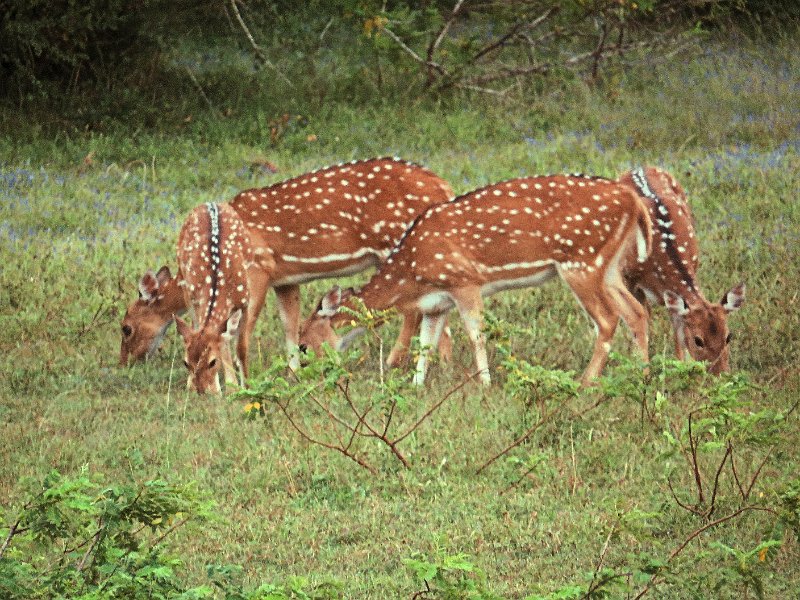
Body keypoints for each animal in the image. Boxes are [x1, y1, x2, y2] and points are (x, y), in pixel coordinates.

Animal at [119, 157, 455, 371]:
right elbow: (289, 326)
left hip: (395, 244)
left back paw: (399, 361)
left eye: (126, 328)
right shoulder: (286, 279)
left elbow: (241, 333)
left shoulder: (257, 270)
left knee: (413, 309)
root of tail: (444, 187)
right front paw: (293, 371)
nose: (124, 362)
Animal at [173, 202, 255, 394]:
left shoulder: (245, 301)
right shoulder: (196, 298)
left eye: (212, 362)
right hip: (184, 283)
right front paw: (227, 389)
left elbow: (241, 348)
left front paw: (246, 386)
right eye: (186, 363)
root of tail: (209, 203)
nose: (200, 391)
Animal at [299, 174, 654, 386]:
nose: (306, 373)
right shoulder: (436, 304)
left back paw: (585, 381)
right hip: (607, 265)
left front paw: (485, 383)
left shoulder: (464, 280)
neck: (412, 272)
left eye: (303, 344)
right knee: (636, 311)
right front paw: (416, 384)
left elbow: (475, 334)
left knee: (608, 319)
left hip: (581, 260)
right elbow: (427, 343)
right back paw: (642, 373)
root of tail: (632, 200)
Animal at [618, 166, 745, 374]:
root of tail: (639, 167)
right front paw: (641, 370)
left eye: (729, 337)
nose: (721, 373)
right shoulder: (629, 278)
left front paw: (683, 370)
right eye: (698, 340)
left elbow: (678, 336)